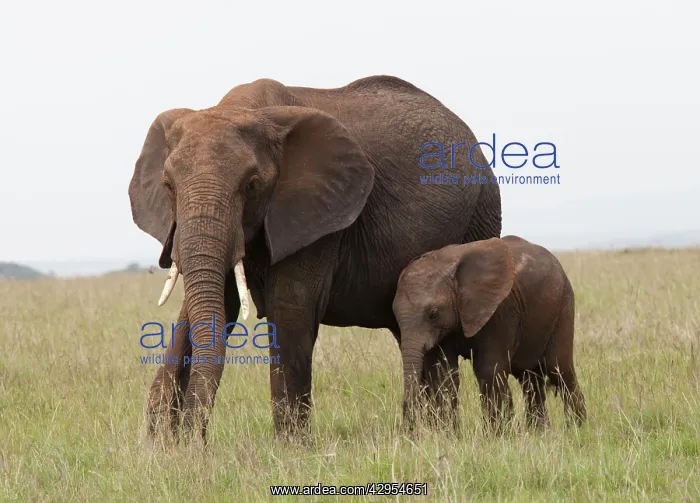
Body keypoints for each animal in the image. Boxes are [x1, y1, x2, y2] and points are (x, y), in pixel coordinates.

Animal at [128, 75, 503, 443]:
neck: (243, 109)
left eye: (251, 185)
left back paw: (441, 438)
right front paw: (164, 445)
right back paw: (426, 437)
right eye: (168, 186)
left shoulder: (321, 217)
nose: (194, 438)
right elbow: (216, 301)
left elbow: (289, 308)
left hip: (479, 216)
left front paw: (291, 447)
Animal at [393, 235, 586, 433]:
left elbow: (488, 370)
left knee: (559, 369)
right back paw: (539, 433)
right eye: (395, 315)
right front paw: (447, 434)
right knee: (530, 379)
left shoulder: (500, 311)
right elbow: (443, 375)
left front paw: (497, 435)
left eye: (433, 314)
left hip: (564, 305)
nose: (410, 429)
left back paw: (577, 429)